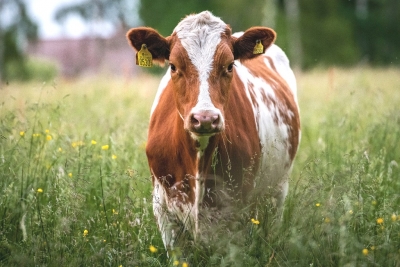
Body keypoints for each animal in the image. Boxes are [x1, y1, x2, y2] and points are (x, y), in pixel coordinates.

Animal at [126, 10, 298, 253]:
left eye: (229, 65)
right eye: (173, 66)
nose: (205, 118)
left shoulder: (237, 211)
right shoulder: (163, 210)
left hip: (278, 189)